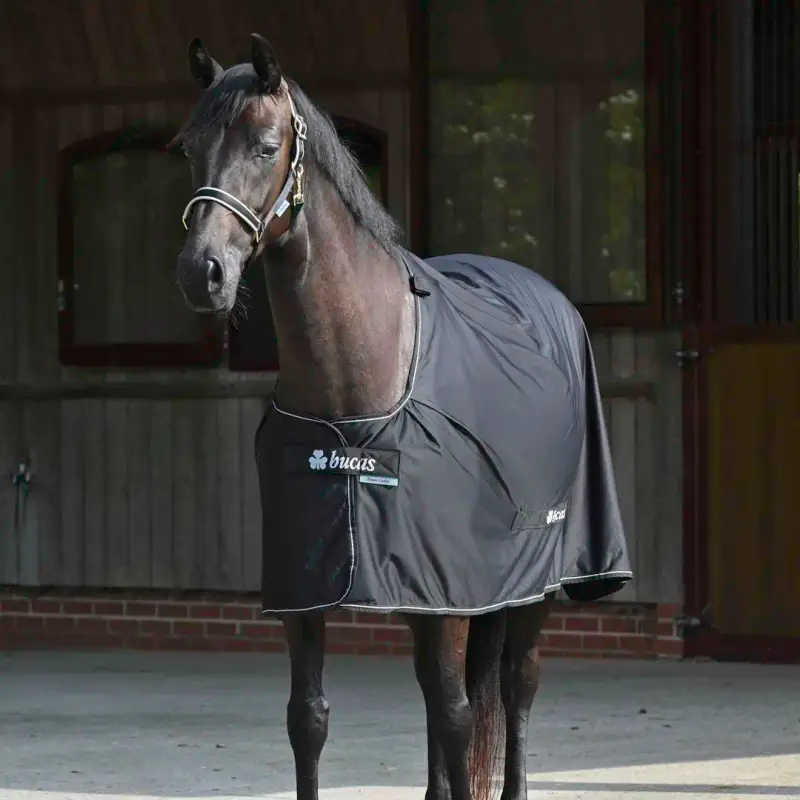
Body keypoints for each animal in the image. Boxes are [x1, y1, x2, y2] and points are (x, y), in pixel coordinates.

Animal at [172, 33, 632, 800]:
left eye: (265, 146)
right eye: (188, 148)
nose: (201, 272)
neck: (356, 385)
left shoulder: (449, 594)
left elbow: (456, 715)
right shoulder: (308, 589)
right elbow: (309, 719)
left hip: (537, 579)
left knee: (513, 687)